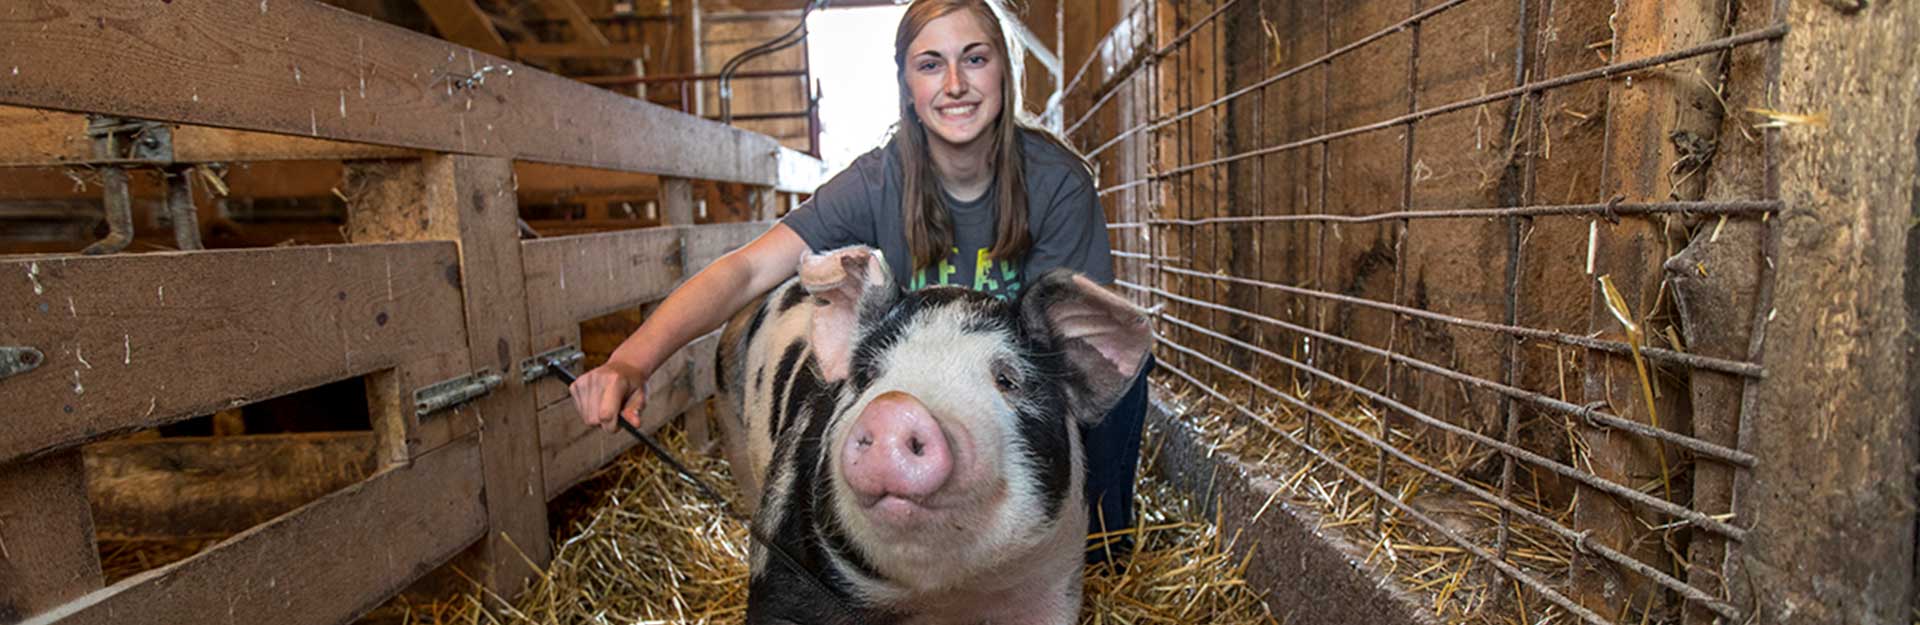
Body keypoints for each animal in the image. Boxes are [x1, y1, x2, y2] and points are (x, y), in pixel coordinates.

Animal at [710, 247, 1144, 621]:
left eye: (1007, 380)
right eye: (866, 376)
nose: (895, 407)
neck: (942, 597)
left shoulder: (1054, 581)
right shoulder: (781, 561)